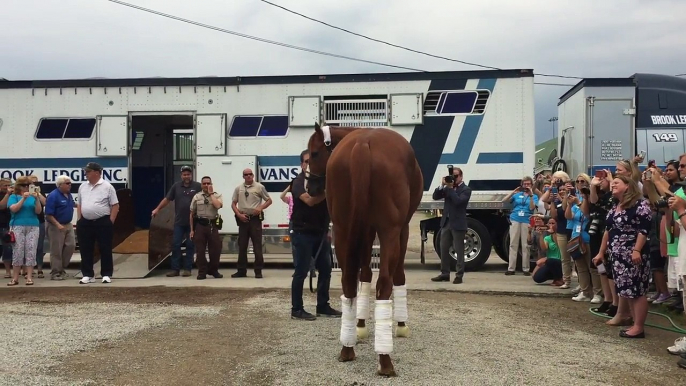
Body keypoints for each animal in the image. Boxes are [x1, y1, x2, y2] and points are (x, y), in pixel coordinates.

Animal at [308, 122, 424, 376]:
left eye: (313, 153)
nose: (309, 188)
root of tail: (363, 143)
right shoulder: (400, 229)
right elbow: (397, 276)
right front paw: (401, 324)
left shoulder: (365, 229)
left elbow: (364, 275)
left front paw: (360, 327)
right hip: (389, 230)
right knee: (385, 284)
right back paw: (385, 360)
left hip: (342, 230)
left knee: (349, 283)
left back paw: (347, 348)